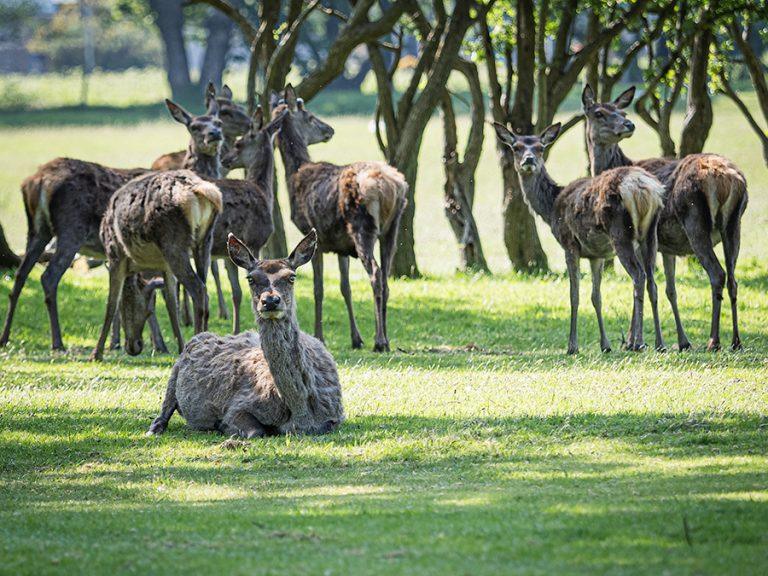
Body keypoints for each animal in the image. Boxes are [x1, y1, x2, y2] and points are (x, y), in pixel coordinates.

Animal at [147, 230, 344, 438]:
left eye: (291, 277)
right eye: (251, 278)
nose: (270, 301)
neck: (301, 414)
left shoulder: (335, 415)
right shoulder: (237, 405)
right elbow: (255, 430)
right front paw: (222, 426)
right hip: (174, 371)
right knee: (165, 406)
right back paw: (154, 429)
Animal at [271, 85, 408, 352]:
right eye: (310, 117)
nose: (330, 129)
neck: (294, 177)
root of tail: (393, 186)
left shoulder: (314, 236)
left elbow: (318, 288)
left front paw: (319, 335)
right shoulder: (341, 246)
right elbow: (345, 288)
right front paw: (356, 338)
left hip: (362, 226)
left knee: (376, 274)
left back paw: (380, 340)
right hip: (392, 227)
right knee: (386, 277)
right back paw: (385, 338)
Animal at [494, 122, 666, 354]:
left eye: (540, 147)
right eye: (516, 147)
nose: (528, 160)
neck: (551, 208)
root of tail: (643, 189)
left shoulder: (569, 244)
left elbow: (573, 295)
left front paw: (572, 346)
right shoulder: (596, 255)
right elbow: (596, 296)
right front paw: (605, 345)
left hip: (620, 233)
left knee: (639, 276)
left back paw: (638, 342)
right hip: (650, 233)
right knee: (652, 282)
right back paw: (660, 343)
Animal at [582, 85, 748, 351]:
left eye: (621, 111)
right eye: (599, 113)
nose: (628, 124)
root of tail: (729, 180)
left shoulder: (641, 238)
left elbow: (643, 280)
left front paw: (632, 340)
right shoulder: (668, 246)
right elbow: (671, 289)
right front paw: (682, 341)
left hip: (694, 220)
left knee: (717, 274)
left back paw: (713, 340)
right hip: (734, 224)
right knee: (733, 278)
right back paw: (735, 340)